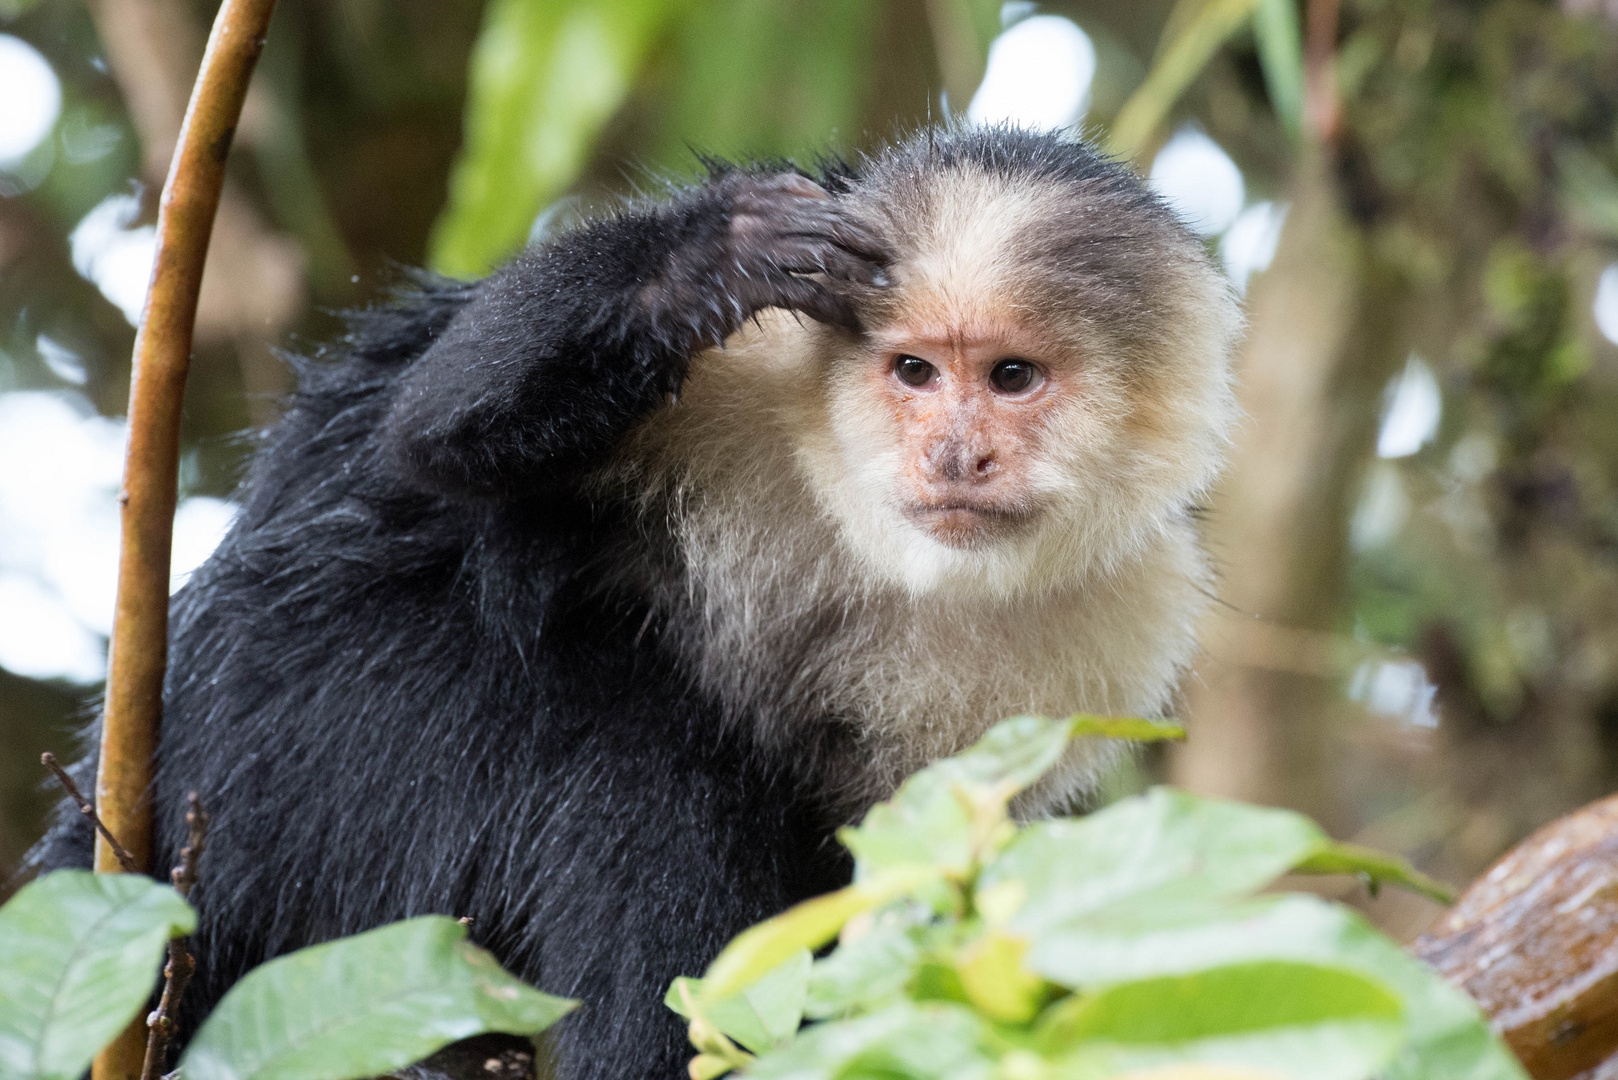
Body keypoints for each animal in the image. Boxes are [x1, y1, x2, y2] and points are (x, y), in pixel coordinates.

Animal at [31, 128, 1236, 1080]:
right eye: (914, 373)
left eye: (1012, 378)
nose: (953, 455)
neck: (872, 548)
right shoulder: (753, 367)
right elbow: (432, 433)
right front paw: (706, 256)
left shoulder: (1116, 626)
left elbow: (890, 860)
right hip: (279, 766)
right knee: (628, 737)